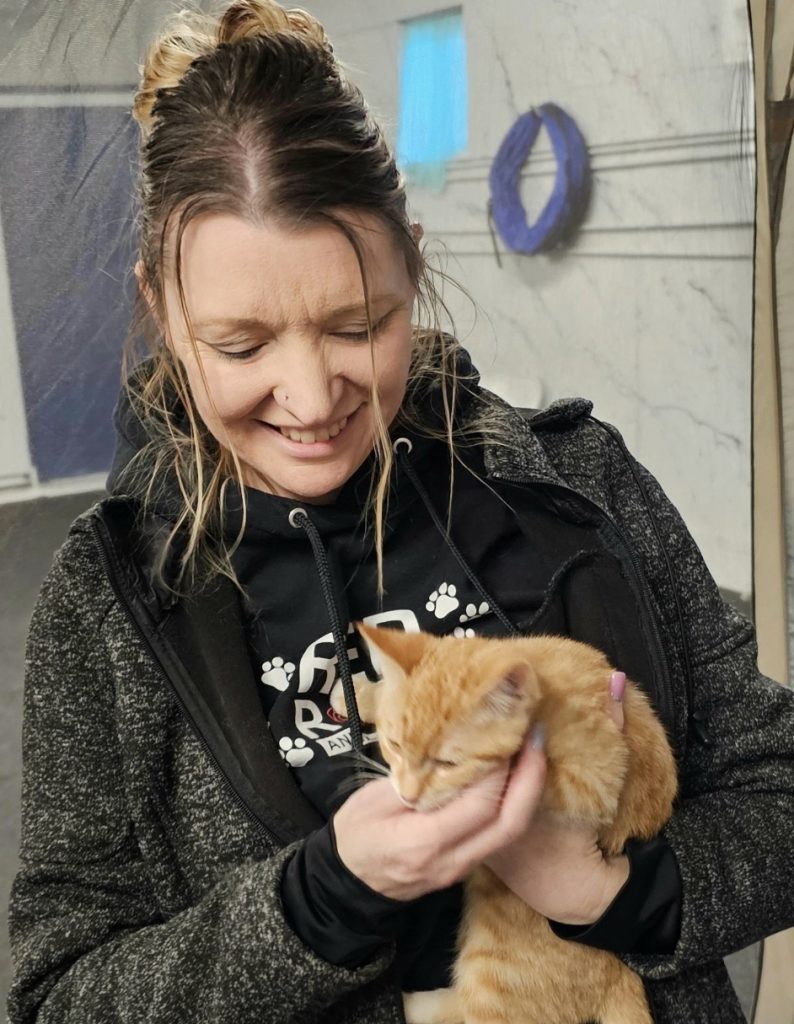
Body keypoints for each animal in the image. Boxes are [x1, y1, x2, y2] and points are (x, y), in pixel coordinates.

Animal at [338, 622, 680, 1024]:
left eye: (447, 764)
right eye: (393, 745)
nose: (406, 796)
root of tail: (621, 974)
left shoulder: (596, 780)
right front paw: (362, 694)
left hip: (494, 976)